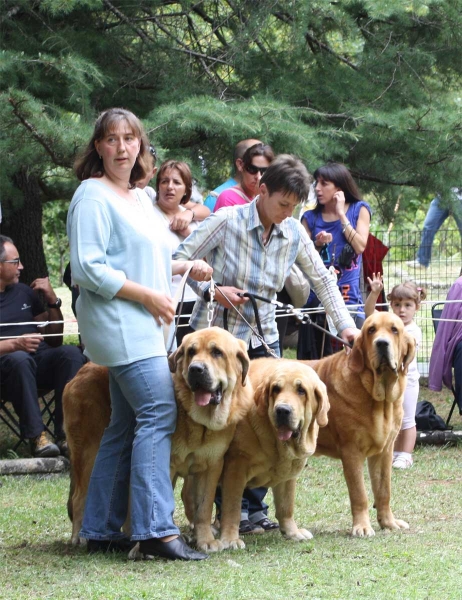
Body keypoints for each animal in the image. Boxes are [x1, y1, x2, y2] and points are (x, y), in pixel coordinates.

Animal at [62, 326, 253, 552]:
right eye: (191, 352)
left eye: (217, 352)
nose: (196, 369)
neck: (198, 421)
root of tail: (79, 373)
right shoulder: (166, 465)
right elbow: (159, 503)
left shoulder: (211, 467)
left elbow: (203, 508)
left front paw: (205, 540)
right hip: (89, 452)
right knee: (79, 497)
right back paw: (80, 537)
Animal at [217, 358, 328, 552]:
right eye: (276, 389)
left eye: (301, 390)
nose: (282, 410)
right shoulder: (235, 469)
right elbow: (232, 508)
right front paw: (230, 539)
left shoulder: (288, 474)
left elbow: (286, 506)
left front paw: (292, 532)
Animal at [302, 312, 416, 536]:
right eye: (371, 330)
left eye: (394, 330)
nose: (382, 343)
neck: (379, 399)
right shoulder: (351, 452)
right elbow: (359, 494)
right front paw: (362, 527)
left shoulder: (384, 452)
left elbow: (383, 490)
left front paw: (388, 522)